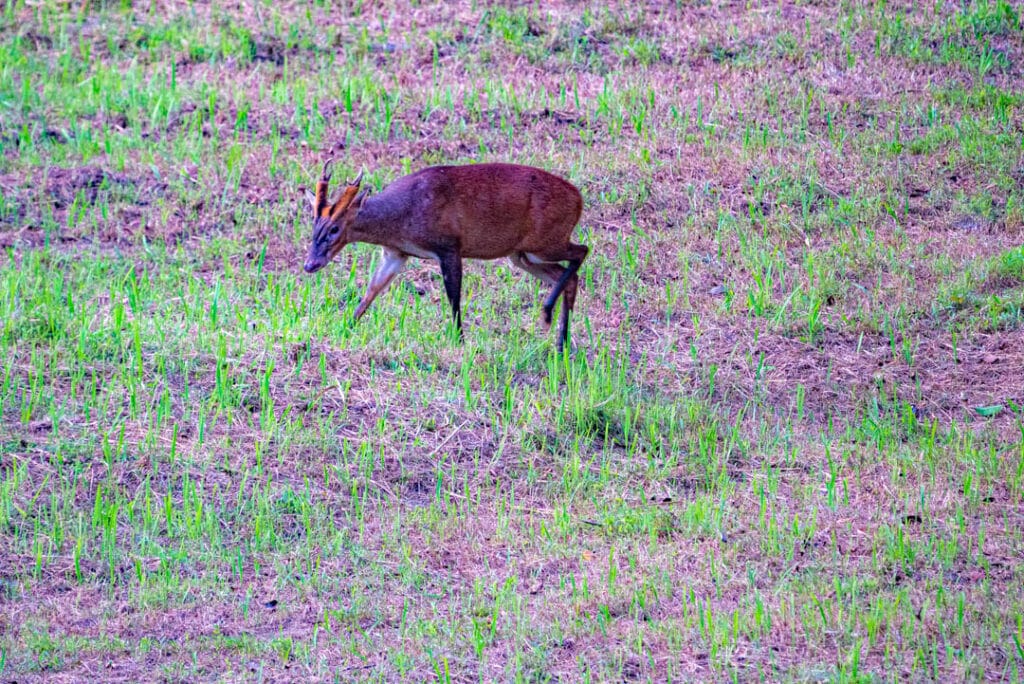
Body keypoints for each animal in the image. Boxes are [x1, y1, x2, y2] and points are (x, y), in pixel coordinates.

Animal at [302, 160, 589, 351]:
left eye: (335, 228)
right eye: (314, 224)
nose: (310, 264)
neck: (402, 216)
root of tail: (579, 199)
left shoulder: (449, 246)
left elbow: (453, 296)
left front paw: (459, 340)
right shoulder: (396, 253)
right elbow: (371, 291)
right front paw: (345, 328)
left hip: (546, 241)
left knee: (581, 251)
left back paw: (548, 314)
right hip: (523, 254)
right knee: (568, 275)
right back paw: (561, 343)